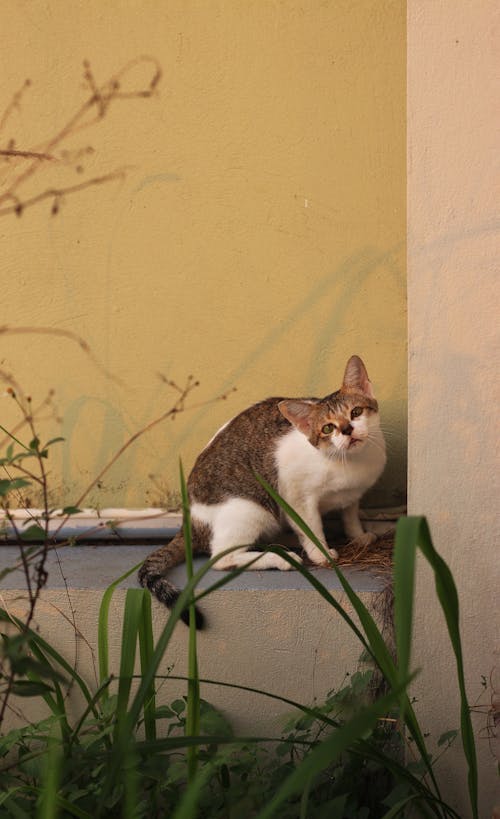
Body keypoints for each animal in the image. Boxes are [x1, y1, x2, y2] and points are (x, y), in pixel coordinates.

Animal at [138, 354, 386, 628]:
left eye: (356, 412)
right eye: (327, 428)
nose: (347, 429)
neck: (349, 462)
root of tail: (189, 522)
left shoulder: (353, 494)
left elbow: (350, 513)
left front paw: (358, 535)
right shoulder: (295, 496)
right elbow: (311, 527)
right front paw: (321, 554)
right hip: (250, 509)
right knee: (222, 557)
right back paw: (280, 558)